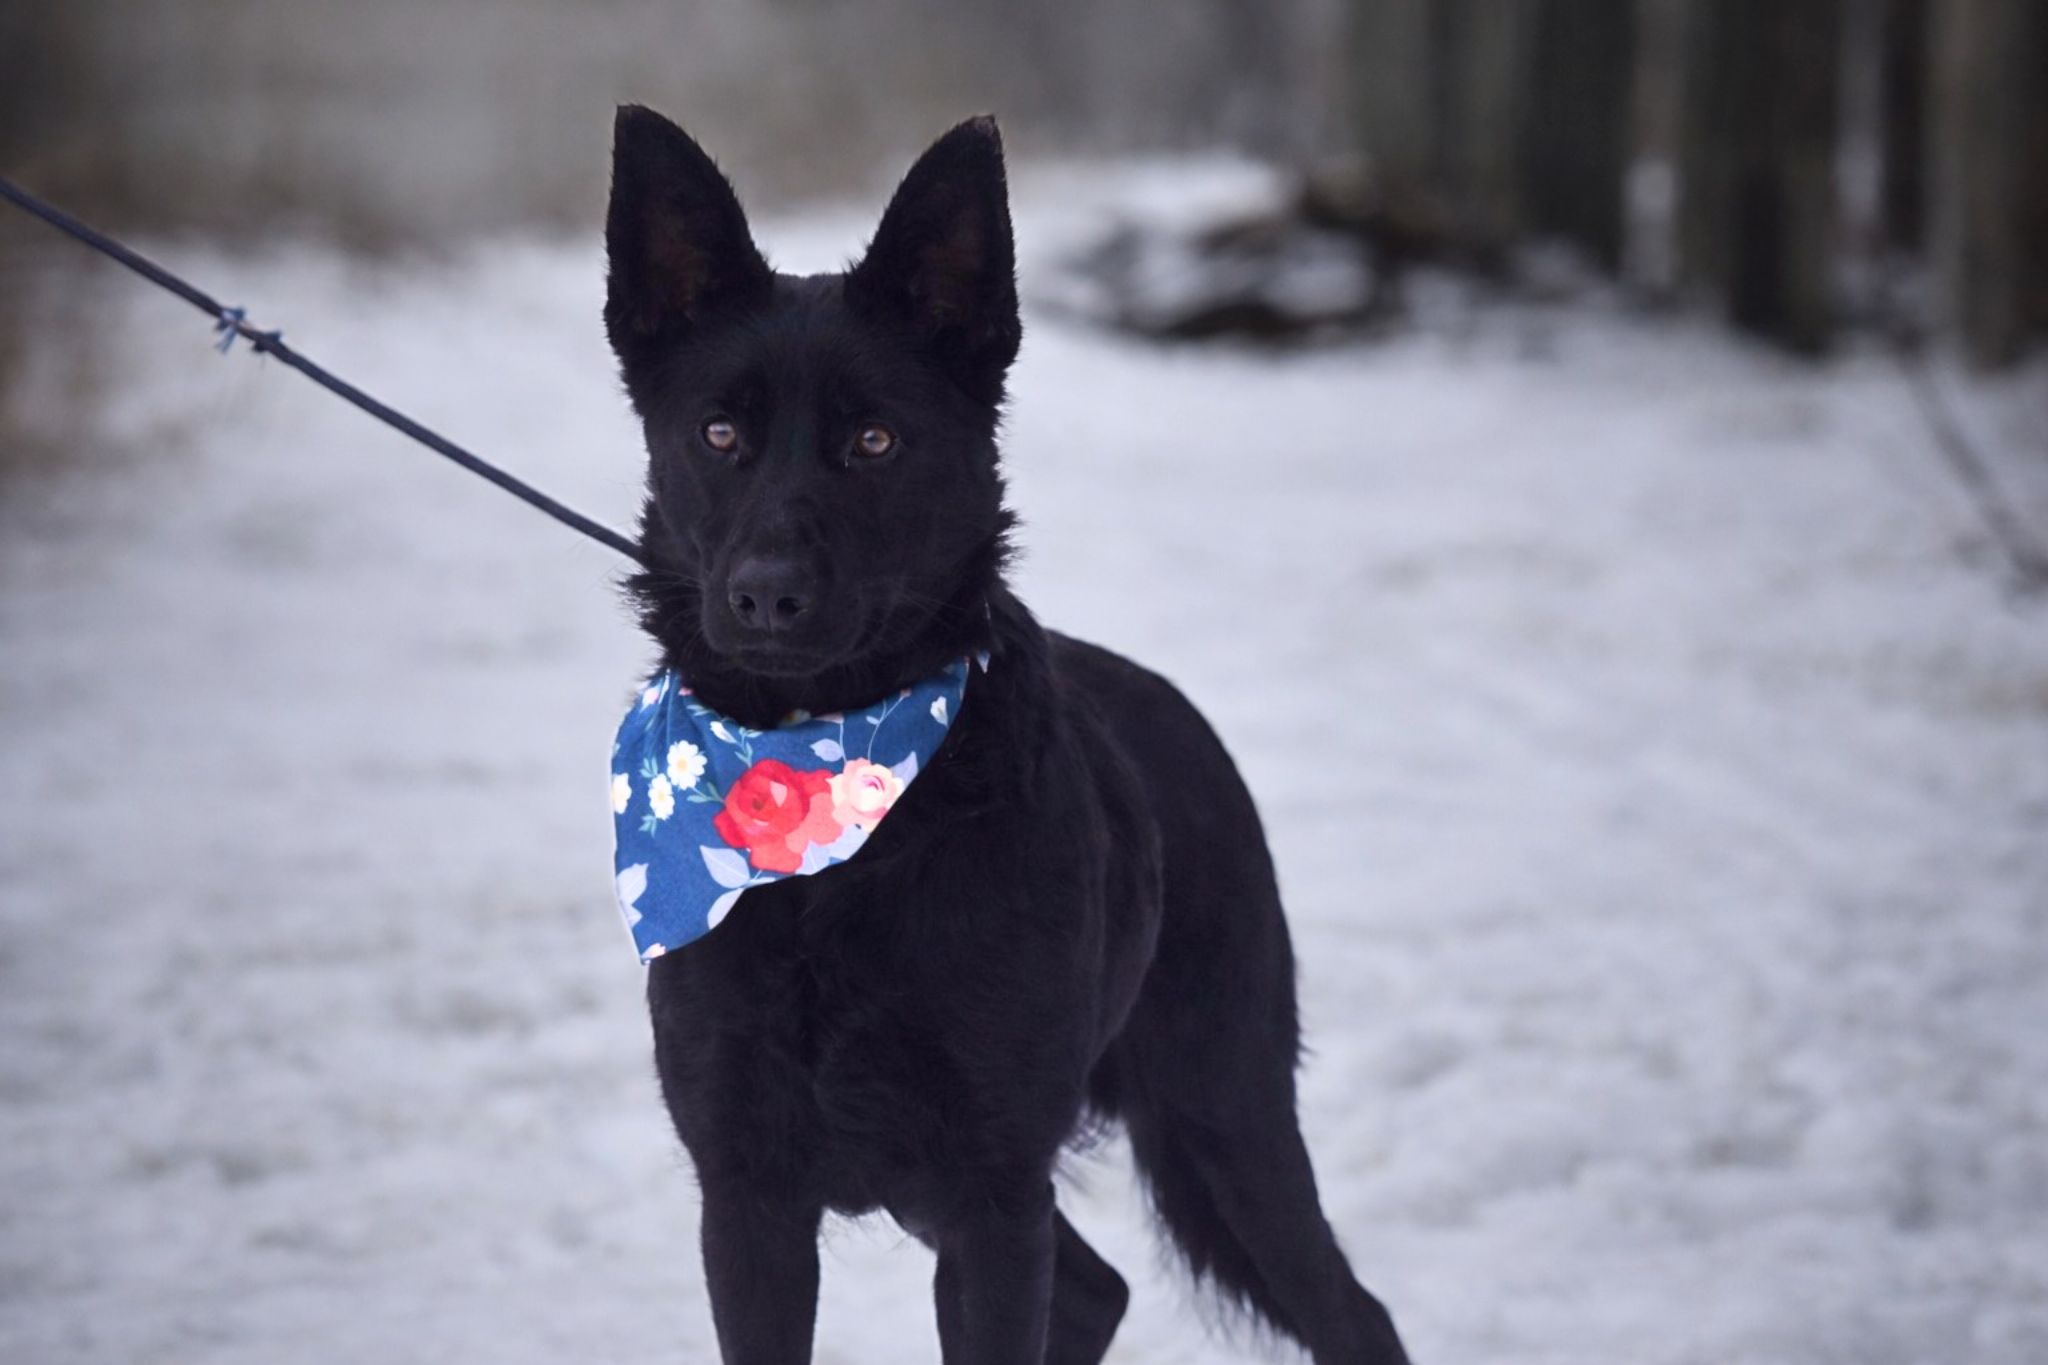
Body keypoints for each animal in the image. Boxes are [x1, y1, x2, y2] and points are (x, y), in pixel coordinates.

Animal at [603, 104, 1411, 1365]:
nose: (766, 597)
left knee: (1347, 1310)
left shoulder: (988, 1192)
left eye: (875, 442)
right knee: (1095, 1290)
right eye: (719, 432)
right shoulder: (749, 1198)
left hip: (1218, 1108)